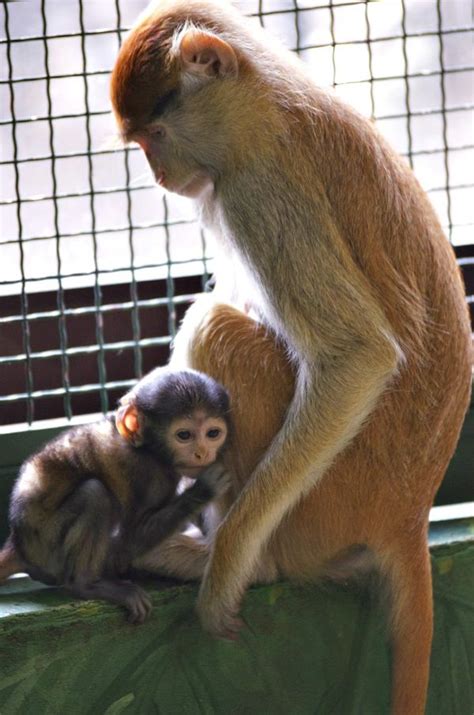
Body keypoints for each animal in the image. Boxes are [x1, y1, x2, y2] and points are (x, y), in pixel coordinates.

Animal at [0, 370, 231, 620]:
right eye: (184, 435)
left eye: (213, 433)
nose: (202, 453)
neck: (149, 450)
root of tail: (19, 543)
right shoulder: (146, 474)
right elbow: (127, 544)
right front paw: (206, 487)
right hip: (48, 543)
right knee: (94, 494)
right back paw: (85, 585)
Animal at [111, 2, 470, 712]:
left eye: (156, 133)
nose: (159, 177)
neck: (267, 101)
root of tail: (406, 512)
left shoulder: (259, 188)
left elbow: (356, 355)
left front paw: (224, 572)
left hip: (323, 505)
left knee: (218, 326)